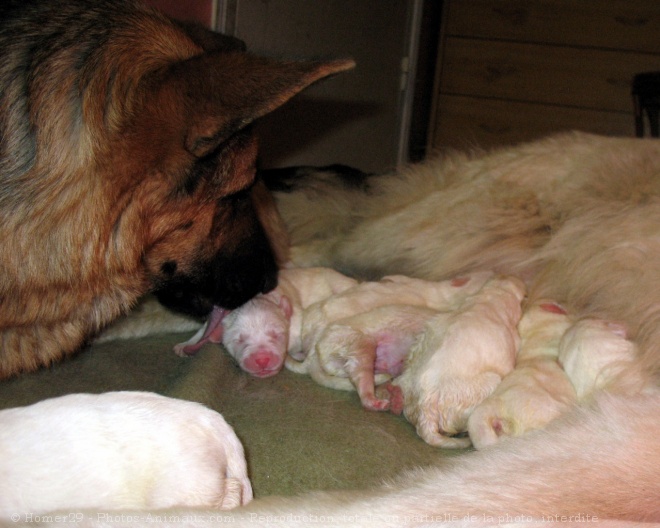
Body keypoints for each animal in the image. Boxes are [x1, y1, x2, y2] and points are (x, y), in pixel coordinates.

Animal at [174, 268, 356, 380]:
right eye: (239, 340)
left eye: (277, 335)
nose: (262, 359)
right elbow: (206, 328)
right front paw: (187, 344)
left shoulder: (297, 320)